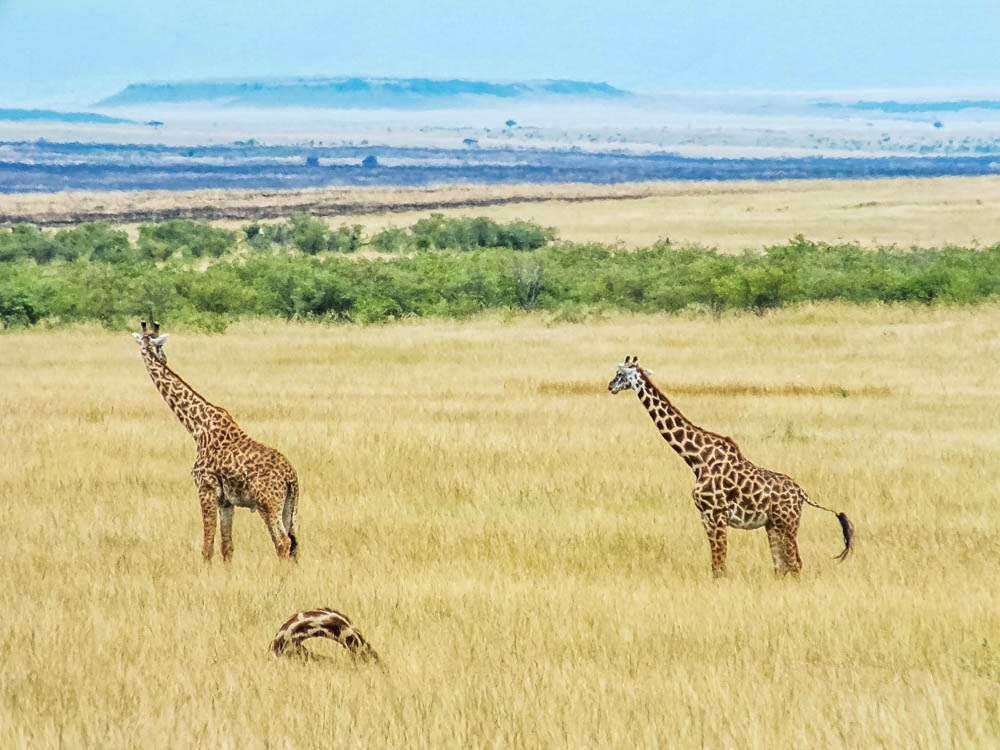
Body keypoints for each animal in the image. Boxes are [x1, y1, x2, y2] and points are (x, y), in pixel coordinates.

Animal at [131, 322, 298, 564]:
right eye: (160, 348)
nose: (163, 358)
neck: (197, 427)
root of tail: (291, 477)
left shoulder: (206, 488)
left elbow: (207, 546)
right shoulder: (225, 500)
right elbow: (226, 547)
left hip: (268, 504)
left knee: (282, 542)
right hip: (290, 506)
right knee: (294, 544)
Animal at [608, 356, 852, 580]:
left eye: (620, 374)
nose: (610, 386)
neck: (697, 459)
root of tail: (802, 493)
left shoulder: (716, 515)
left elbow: (720, 566)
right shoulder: (706, 517)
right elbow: (716, 565)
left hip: (787, 524)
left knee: (795, 564)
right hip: (773, 525)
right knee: (781, 567)